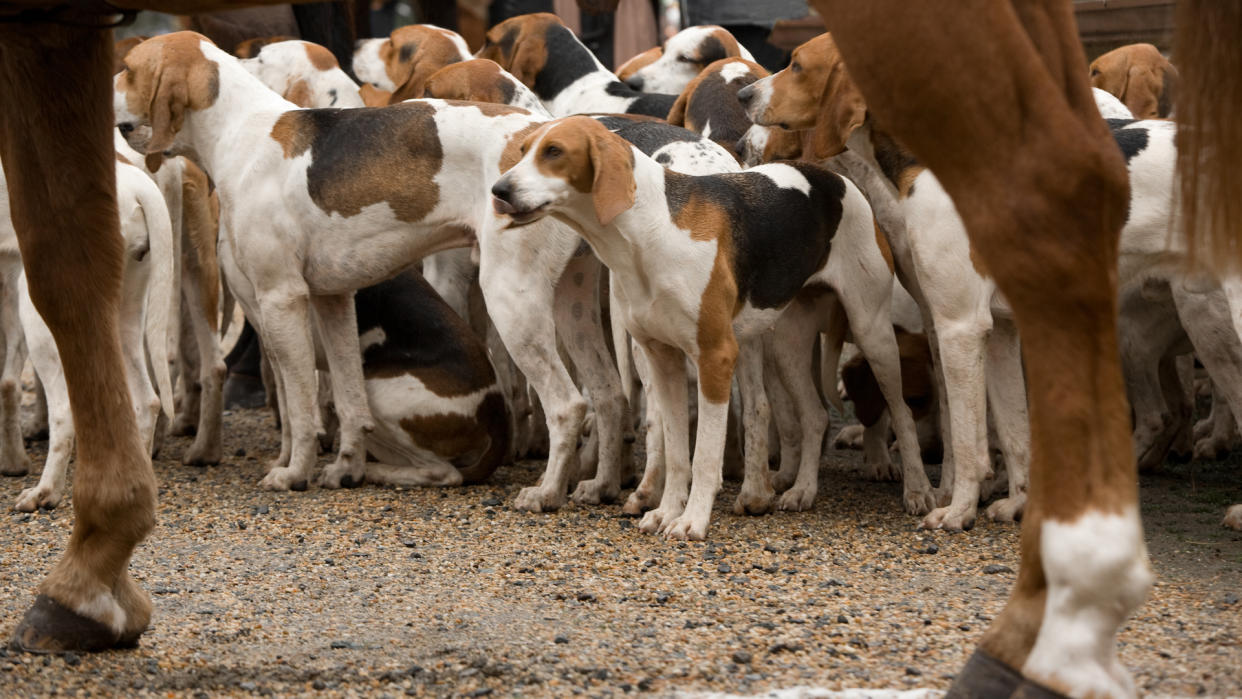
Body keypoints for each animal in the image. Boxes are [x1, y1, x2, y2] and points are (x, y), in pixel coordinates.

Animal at [489, 117, 929, 538]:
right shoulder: (662, 359)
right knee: (816, 416)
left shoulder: (716, 357)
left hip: (873, 332)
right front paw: (665, 512)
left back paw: (918, 490)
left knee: (902, 412)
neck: (651, 229)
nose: (498, 190)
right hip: (788, 343)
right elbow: (676, 453)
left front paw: (692, 522)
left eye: (554, 151)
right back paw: (803, 490)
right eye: (522, 150)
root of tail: (835, 178)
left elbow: (703, 456)